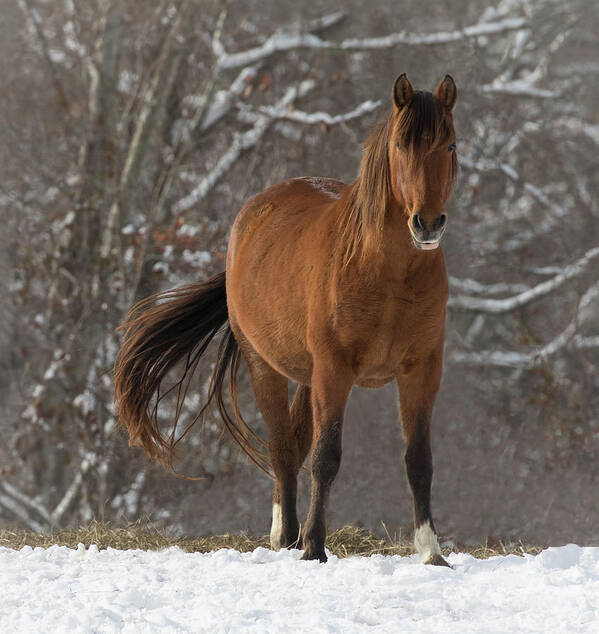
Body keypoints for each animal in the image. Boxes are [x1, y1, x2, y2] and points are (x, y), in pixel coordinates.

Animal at [113, 73, 460, 564]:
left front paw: (431, 551)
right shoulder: (335, 370)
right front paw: (314, 545)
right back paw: (287, 535)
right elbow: (326, 456)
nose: (426, 224)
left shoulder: (421, 370)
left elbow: (418, 461)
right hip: (267, 368)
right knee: (281, 448)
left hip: (310, 376)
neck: (388, 274)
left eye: (450, 145)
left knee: (294, 444)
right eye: (400, 145)